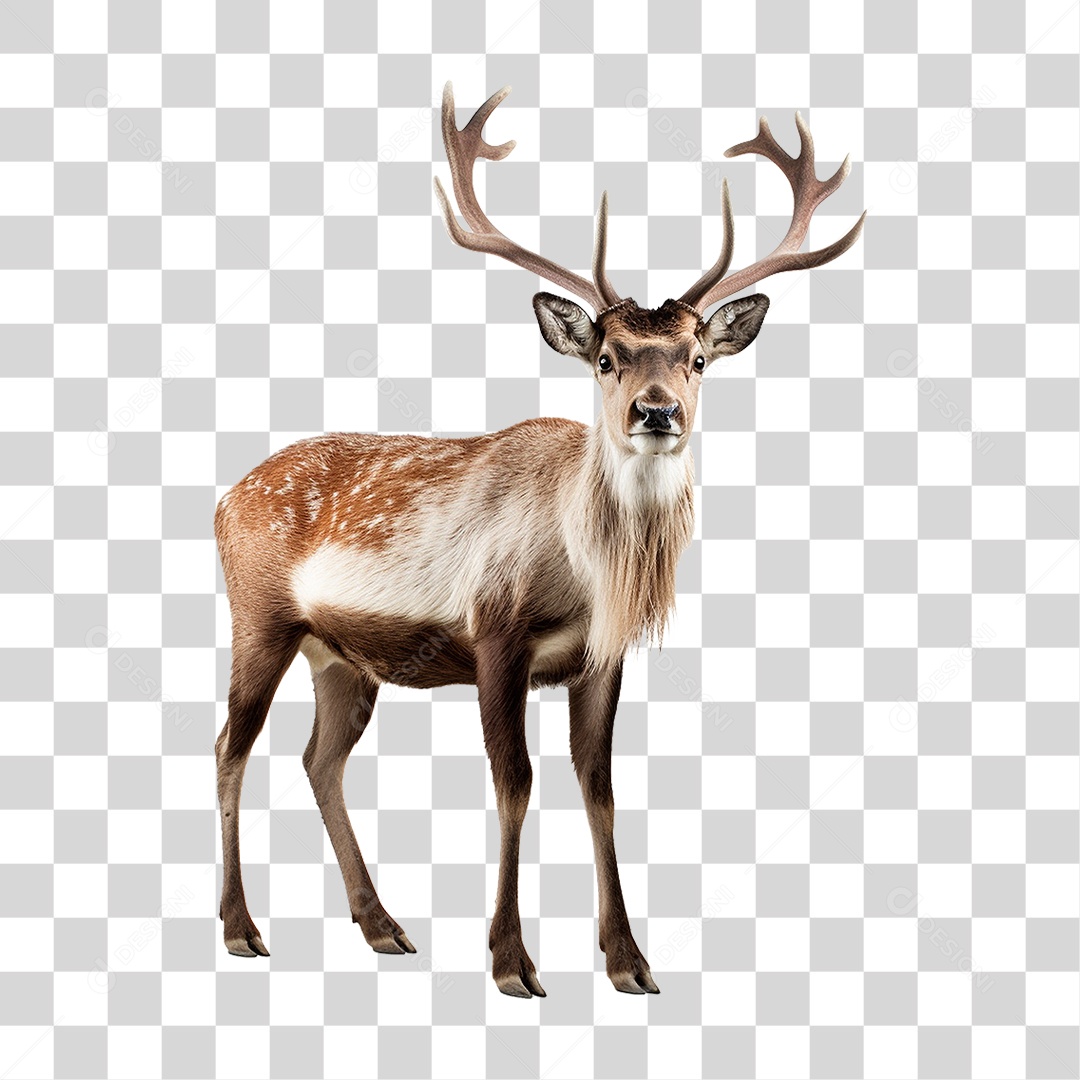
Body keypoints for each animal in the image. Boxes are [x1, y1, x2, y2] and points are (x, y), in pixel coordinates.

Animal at [213, 82, 864, 997]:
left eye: (698, 357)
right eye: (606, 357)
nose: (656, 411)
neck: (591, 573)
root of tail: (223, 499)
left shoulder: (602, 655)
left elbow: (601, 788)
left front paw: (629, 960)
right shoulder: (496, 632)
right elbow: (515, 784)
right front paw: (512, 961)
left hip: (341, 655)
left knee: (319, 759)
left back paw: (382, 926)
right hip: (259, 615)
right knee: (231, 746)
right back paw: (242, 928)